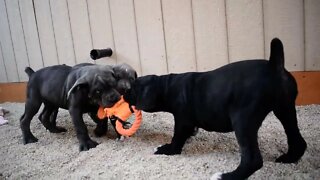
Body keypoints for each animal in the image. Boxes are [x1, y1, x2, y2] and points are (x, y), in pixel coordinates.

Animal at [124, 37, 306, 179]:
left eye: (131, 89)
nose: (123, 95)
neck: (167, 87)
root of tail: (274, 66)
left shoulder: (182, 121)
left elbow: (177, 139)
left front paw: (168, 149)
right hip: (285, 110)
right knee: (297, 140)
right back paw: (289, 158)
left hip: (243, 121)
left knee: (253, 160)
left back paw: (226, 177)